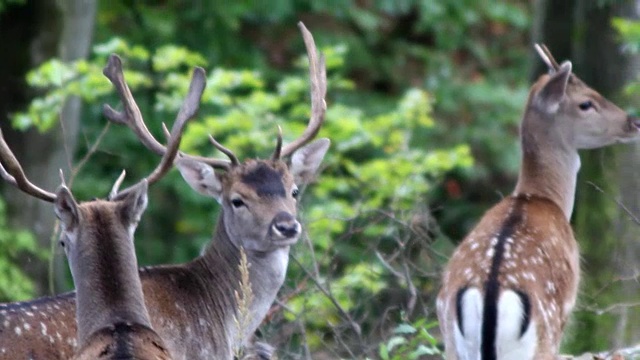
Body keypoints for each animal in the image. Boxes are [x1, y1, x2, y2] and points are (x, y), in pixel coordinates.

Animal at [436, 45, 640, 360]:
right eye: (586, 103)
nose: (634, 122)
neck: (539, 196)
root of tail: (489, 294)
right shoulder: (567, 310)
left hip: (451, 339)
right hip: (545, 335)